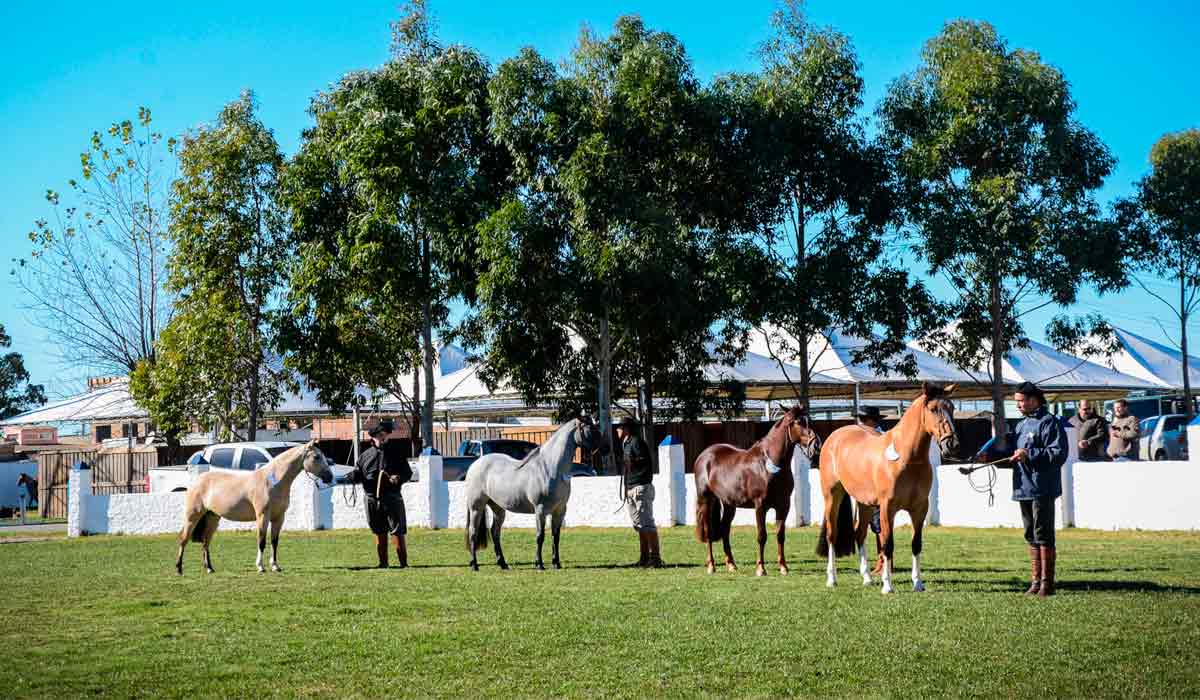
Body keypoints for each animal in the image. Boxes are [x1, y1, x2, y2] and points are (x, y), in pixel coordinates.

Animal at [463, 415, 604, 569]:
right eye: (590, 428)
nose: (606, 449)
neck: (550, 468)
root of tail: (474, 465)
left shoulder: (560, 510)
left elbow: (556, 536)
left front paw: (556, 563)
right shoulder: (540, 510)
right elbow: (540, 536)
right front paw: (539, 564)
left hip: (498, 508)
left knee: (495, 533)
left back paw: (503, 564)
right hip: (476, 507)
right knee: (473, 532)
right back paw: (474, 565)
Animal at [696, 408, 825, 578]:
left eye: (809, 420)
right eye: (798, 422)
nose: (816, 444)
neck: (769, 465)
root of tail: (704, 456)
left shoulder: (784, 506)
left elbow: (780, 535)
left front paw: (783, 567)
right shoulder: (760, 506)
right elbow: (761, 536)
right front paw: (761, 568)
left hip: (729, 504)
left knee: (725, 529)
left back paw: (731, 565)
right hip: (706, 500)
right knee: (709, 531)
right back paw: (711, 566)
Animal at [811, 386, 960, 595]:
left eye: (952, 408)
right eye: (933, 409)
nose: (952, 445)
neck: (906, 457)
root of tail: (834, 438)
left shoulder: (920, 509)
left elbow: (916, 544)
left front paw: (918, 583)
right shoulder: (887, 508)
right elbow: (887, 544)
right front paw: (887, 585)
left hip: (864, 503)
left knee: (859, 533)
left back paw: (866, 578)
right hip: (832, 496)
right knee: (832, 535)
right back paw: (832, 579)